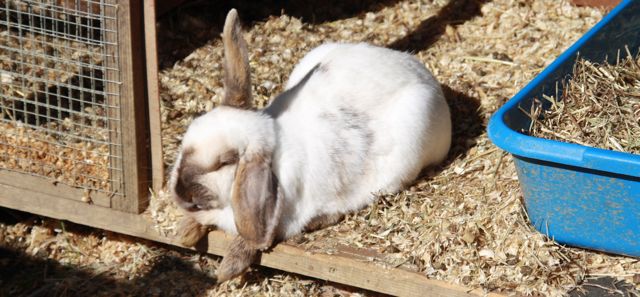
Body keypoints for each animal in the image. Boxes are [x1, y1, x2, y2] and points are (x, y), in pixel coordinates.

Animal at [168, 8, 452, 280]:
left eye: (224, 162)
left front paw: (227, 269)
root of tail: (423, 74)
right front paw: (185, 232)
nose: (180, 191)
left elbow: (253, 238)